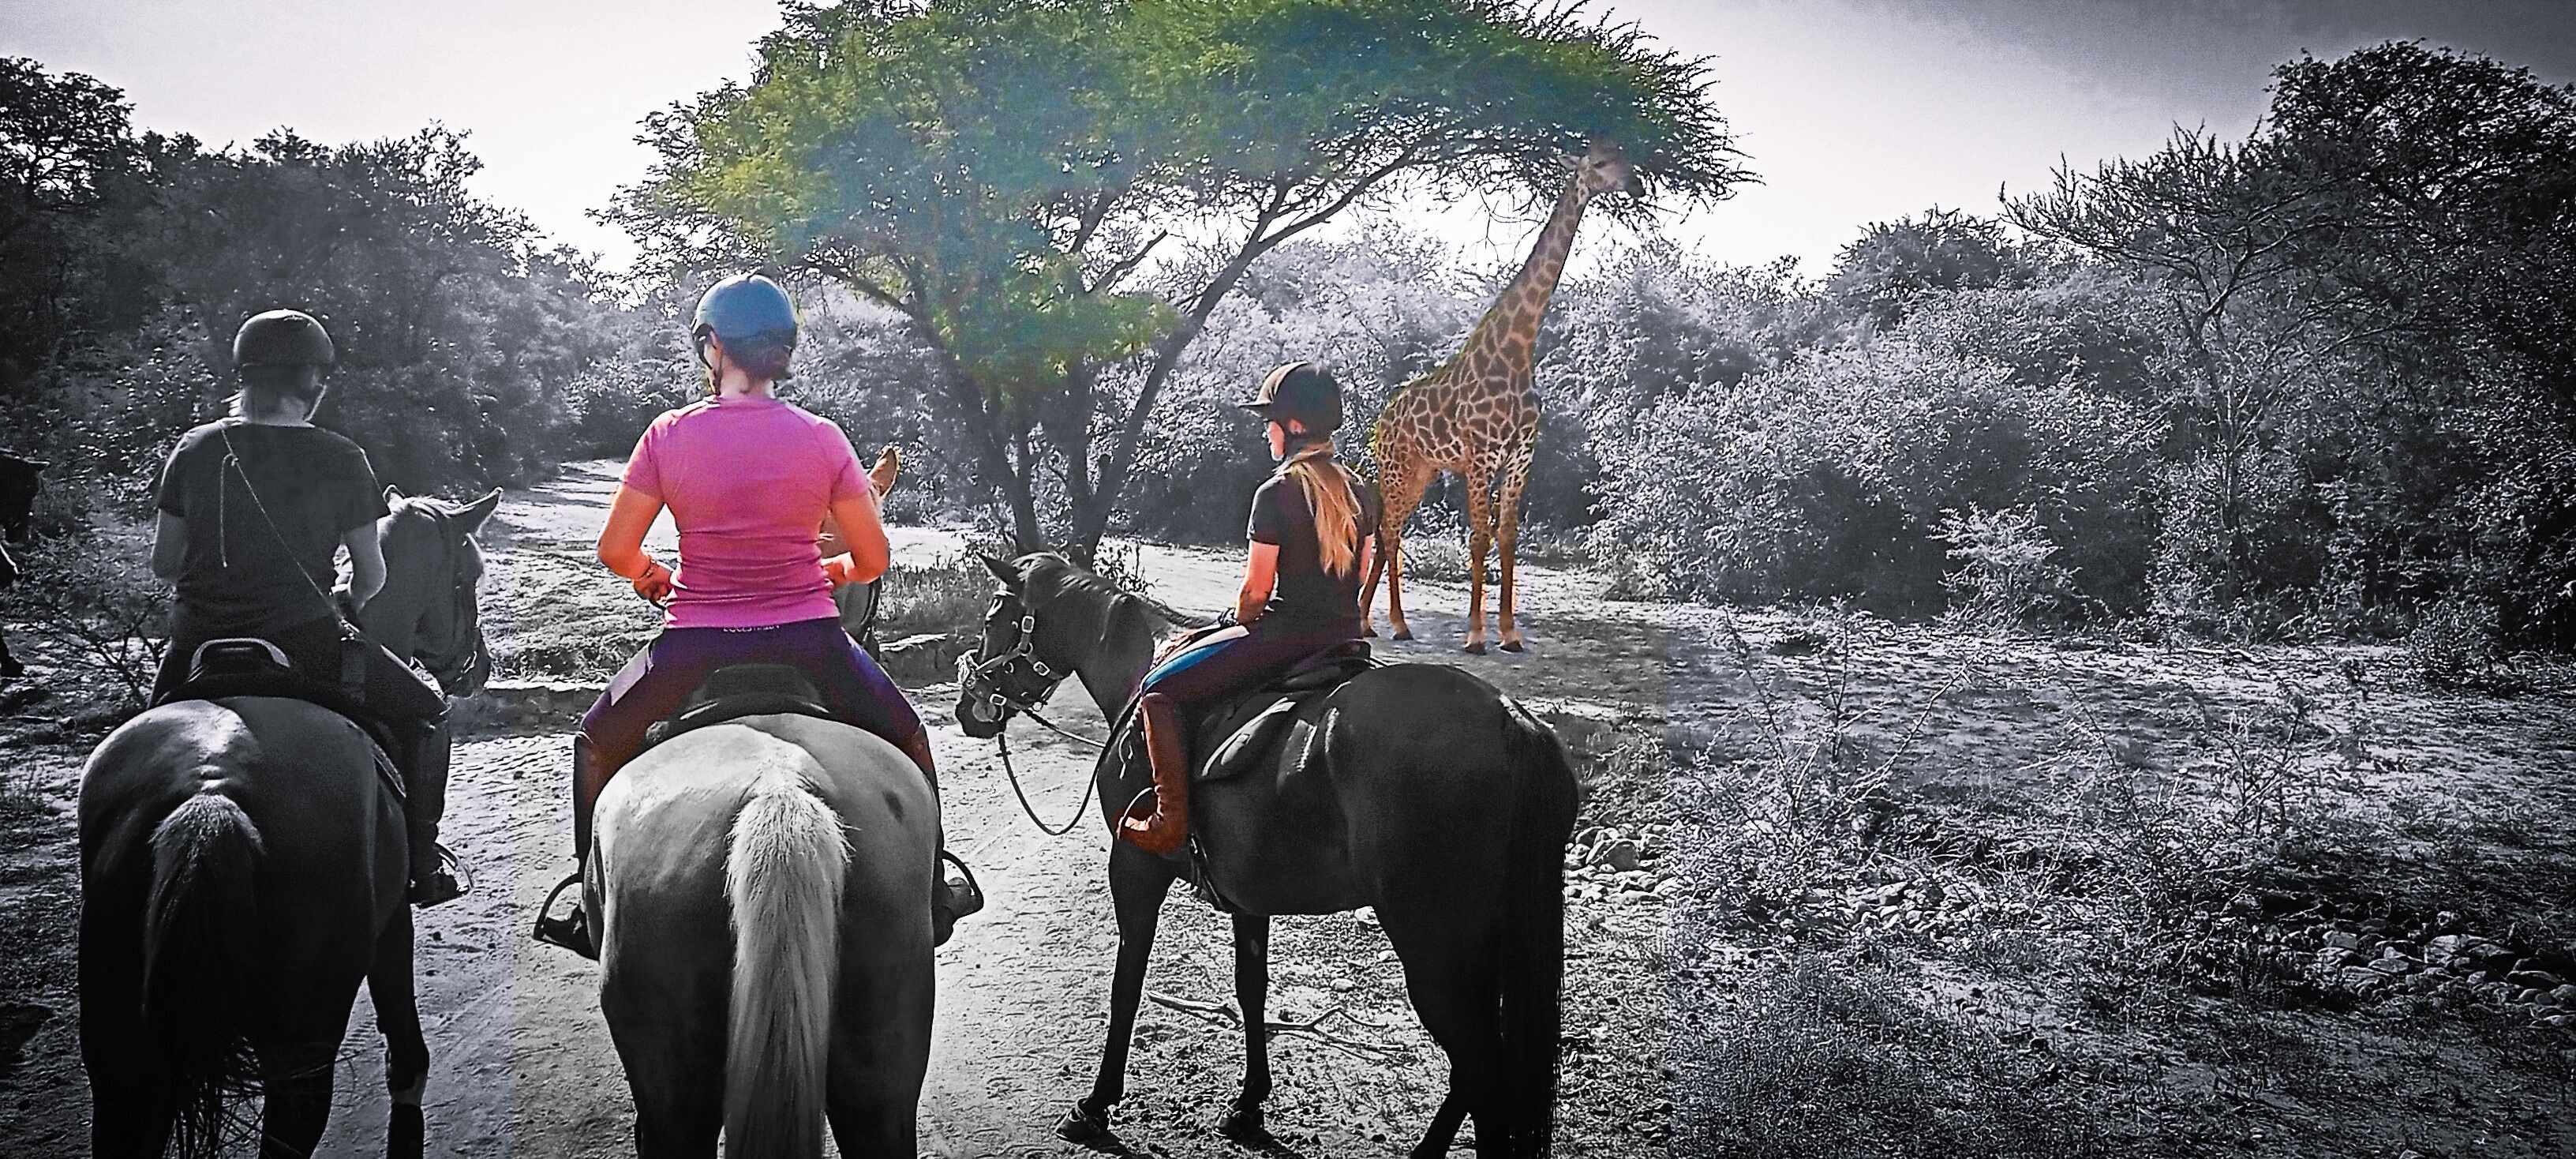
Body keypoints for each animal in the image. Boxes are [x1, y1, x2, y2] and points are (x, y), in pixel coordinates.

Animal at [77, 488, 499, 1158]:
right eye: (466, 579)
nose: (478, 666)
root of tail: (210, 789)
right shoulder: (392, 923)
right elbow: (404, 1040)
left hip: (120, 1046)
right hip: (304, 1033)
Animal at [955, 552, 1579, 1158]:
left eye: (993, 620)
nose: (968, 707)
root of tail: (1510, 720)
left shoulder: (1134, 869)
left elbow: (1126, 982)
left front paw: (1096, 1104)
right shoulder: (1248, 896)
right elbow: (1250, 988)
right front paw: (1249, 1105)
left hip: (1433, 950)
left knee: (1481, 1067)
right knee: (1476, 1070)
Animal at [1362, 138, 1641, 653]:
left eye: (1622, 156)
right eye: (1597, 163)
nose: (1632, 183)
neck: (1517, 351)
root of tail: (1381, 421)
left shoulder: (1521, 455)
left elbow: (1508, 537)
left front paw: (1510, 633)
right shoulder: (1480, 456)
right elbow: (1478, 538)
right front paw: (1474, 634)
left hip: (1422, 472)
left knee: (1392, 530)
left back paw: (1377, 620)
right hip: (1397, 466)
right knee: (1388, 531)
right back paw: (1389, 622)